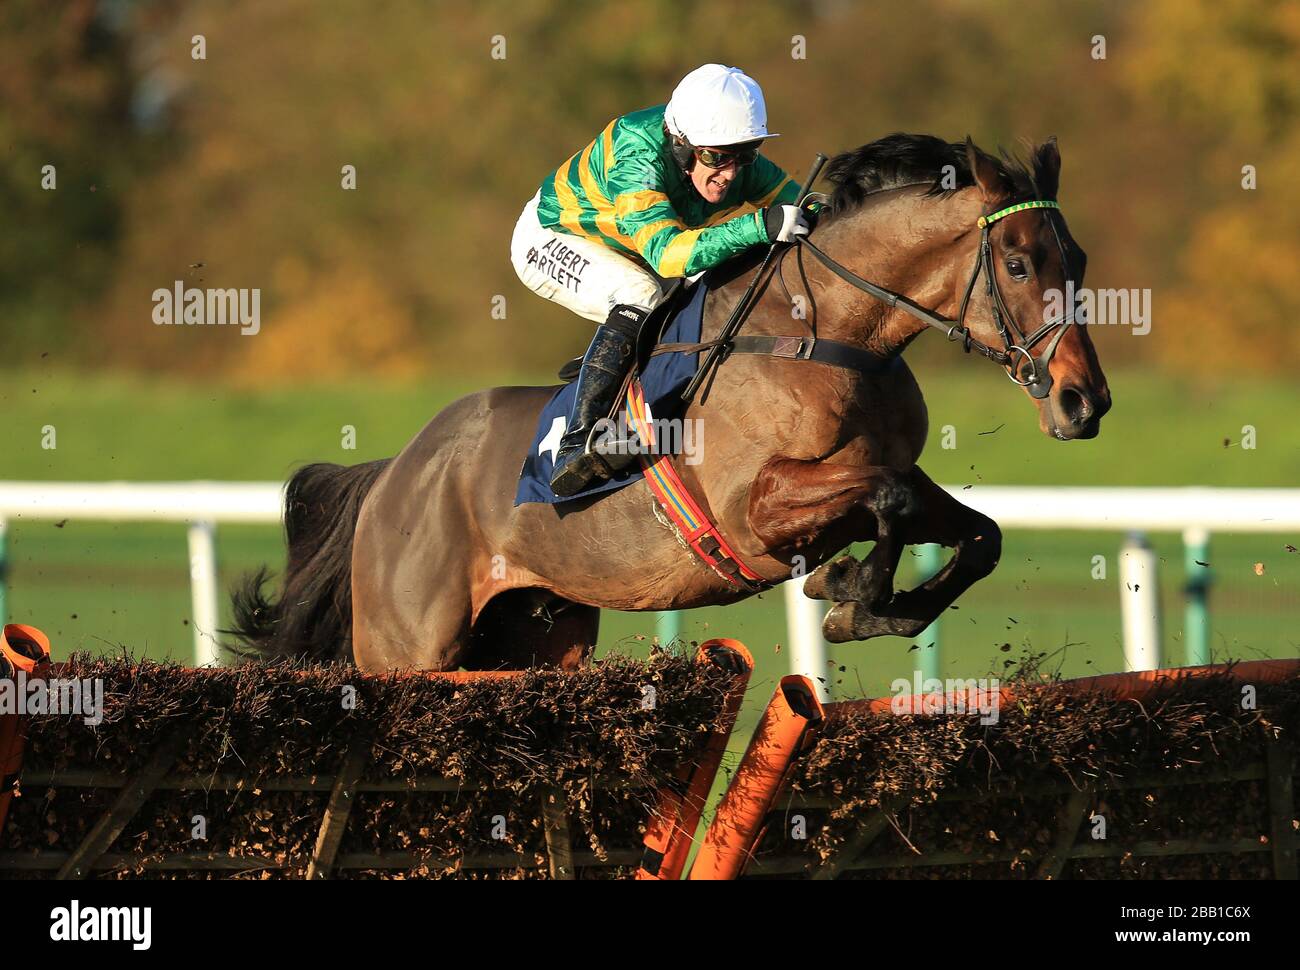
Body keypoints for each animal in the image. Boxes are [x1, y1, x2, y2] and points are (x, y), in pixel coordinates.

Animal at [231, 131, 1107, 670]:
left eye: (1079, 258)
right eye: (1019, 264)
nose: (1083, 401)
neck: (827, 332)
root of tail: (393, 475)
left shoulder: (879, 477)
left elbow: (977, 533)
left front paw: (869, 602)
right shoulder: (756, 508)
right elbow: (886, 500)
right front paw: (852, 594)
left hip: (538, 632)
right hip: (409, 645)